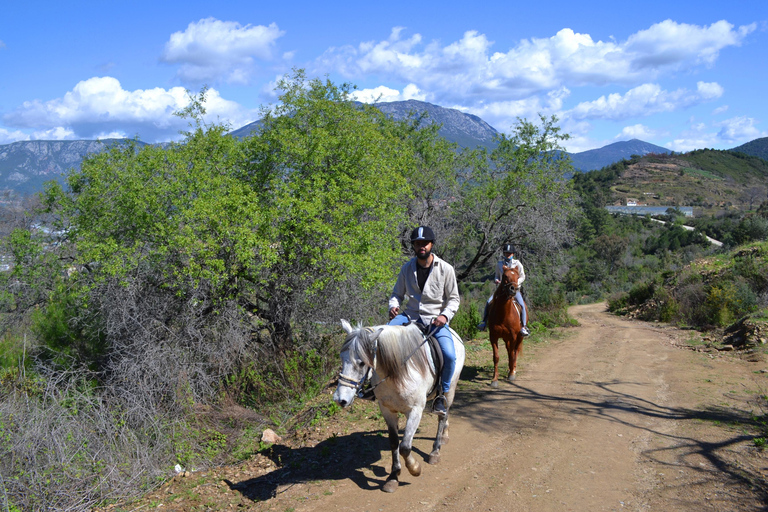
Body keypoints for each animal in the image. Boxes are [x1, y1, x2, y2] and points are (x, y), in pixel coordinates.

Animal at [332, 320, 464, 492]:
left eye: (361, 363)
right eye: (342, 358)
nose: (340, 399)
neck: (398, 373)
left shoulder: (415, 411)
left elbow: (405, 446)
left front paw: (415, 468)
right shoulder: (387, 410)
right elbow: (394, 442)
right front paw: (393, 476)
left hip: (450, 388)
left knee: (443, 415)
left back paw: (435, 451)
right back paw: (444, 436)